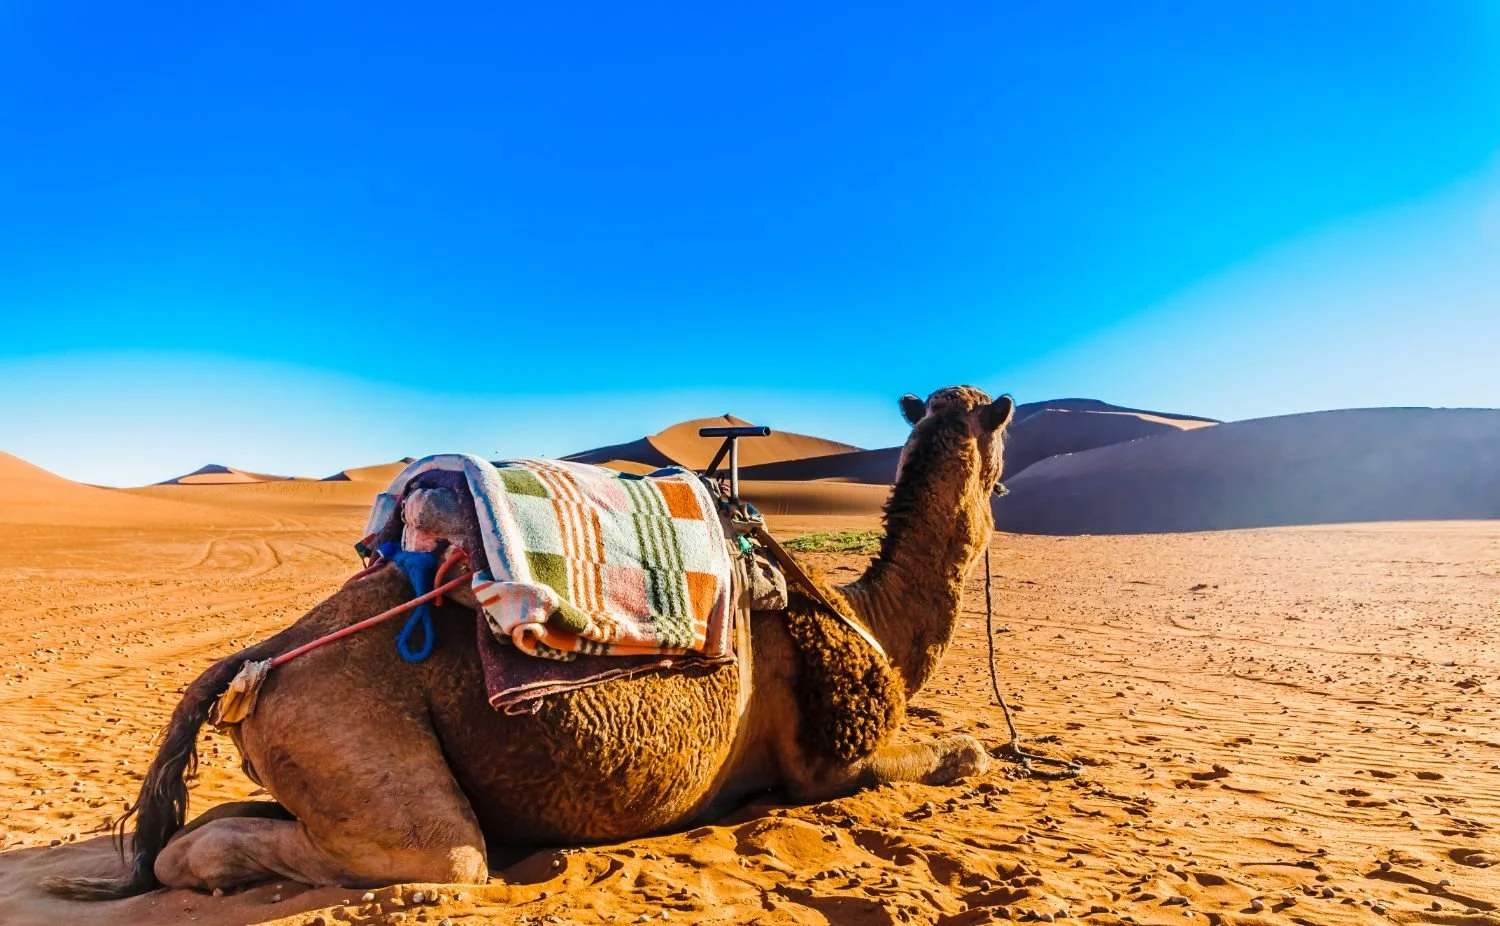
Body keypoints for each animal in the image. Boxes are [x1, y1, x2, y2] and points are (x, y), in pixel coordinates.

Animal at [47, 385, 1015, 898]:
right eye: (1000, 434)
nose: (1005, 475)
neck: (869, 617)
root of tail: (262, 656)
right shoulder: (829, 764)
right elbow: (961, 755)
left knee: (214, 820)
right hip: (348, 735)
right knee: (433, 852)